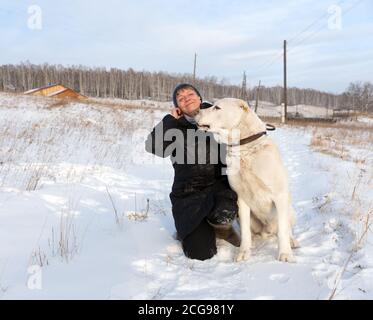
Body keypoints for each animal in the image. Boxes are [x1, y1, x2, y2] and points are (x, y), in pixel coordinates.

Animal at [193, 98, 298, 262]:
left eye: (217, 107)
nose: (196, 110)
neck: (245, 149)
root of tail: (267, 232)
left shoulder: (279, 195)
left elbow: (283, 229)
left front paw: (285, 254)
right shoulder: (241, 198)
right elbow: (245, 229)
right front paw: (244, 251)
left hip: (290, 210)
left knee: (286, 228)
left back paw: (292, 241)